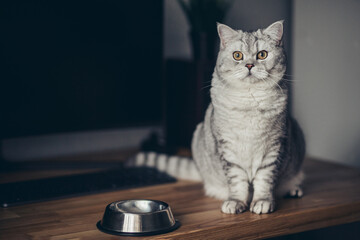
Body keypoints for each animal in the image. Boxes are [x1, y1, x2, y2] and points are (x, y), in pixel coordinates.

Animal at [128, 20, 306, 215]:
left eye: (262, 54)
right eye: (237, 55)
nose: (249, 65)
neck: (249, 101)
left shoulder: (273, 147)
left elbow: (264, 180)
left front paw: (262, 201)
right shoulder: (228, 148)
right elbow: (237, 181)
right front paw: (236, 202)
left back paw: (293, 189)